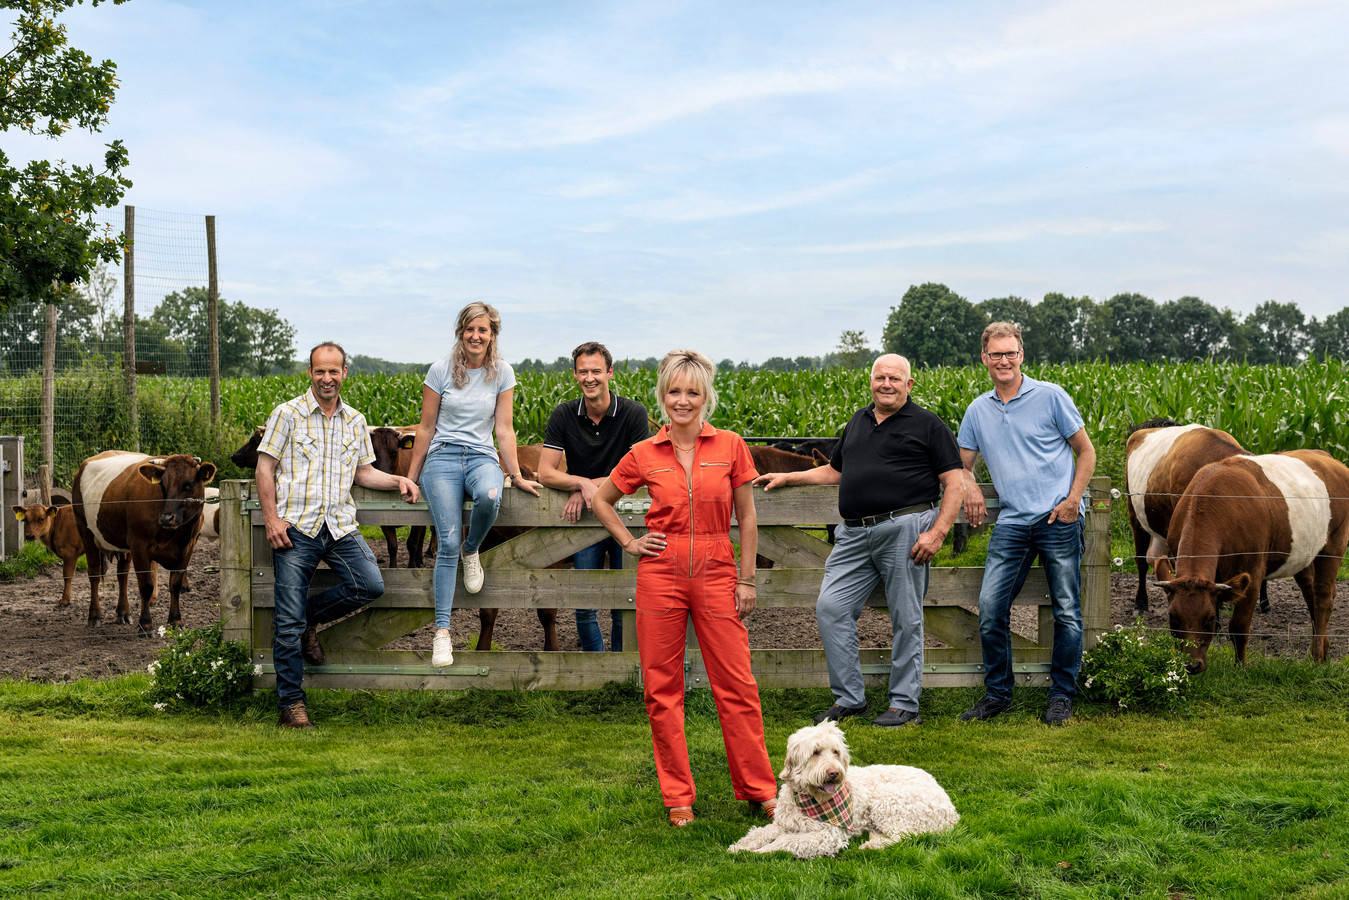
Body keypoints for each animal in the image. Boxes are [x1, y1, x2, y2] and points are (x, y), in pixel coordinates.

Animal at [71, 450, 217, 634]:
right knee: (95, 573)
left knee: (122, 575)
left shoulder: (189, 546)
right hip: (84, 529)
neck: (175, 535)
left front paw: (176, 621)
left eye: (188, 485)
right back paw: (94, 616)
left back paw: (123, 613)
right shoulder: (139, 545)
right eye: (163, 485)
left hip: (122, 545)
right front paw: (146, 625)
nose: (166, 518)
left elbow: (175, 585)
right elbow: (146, 586)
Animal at [728, 717, 960, 858]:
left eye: (835, 752)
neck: (809, 797)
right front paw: (740, 846)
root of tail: (952, 811)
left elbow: (784, 841)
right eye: (815, 752)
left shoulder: (828, 835)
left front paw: (759, 852)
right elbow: (760, 833)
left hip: (888, 801)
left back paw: (872, 845)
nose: (834, 773)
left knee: (905, 836)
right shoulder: (783, 823)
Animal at [1154, 447, 1349, 669]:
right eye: (1172, 618)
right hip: (1304, 553)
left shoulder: (1253, 572)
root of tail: (1327, 456)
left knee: (1323, 596)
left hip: (1335, 541)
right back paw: (1323, 649)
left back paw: (1316, 657)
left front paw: (1241, 667)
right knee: (1311, 594)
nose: (1192, 665)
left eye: (1209, 619)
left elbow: (1238, 627)